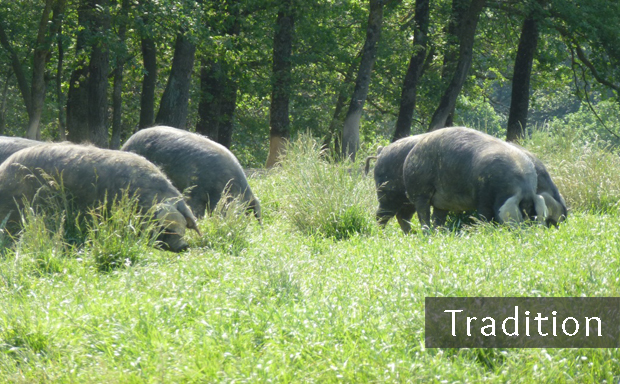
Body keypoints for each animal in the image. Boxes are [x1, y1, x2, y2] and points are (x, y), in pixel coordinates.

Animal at [402, 126, 548, 230]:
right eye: (522, 211)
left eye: (530, 212)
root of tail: (410, 156)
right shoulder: (483, 194)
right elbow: (484, 215)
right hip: (419, 190)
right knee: (423, 213)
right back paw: (427, 232)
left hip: (441, 202)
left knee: (438, 216)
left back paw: (438, 232)